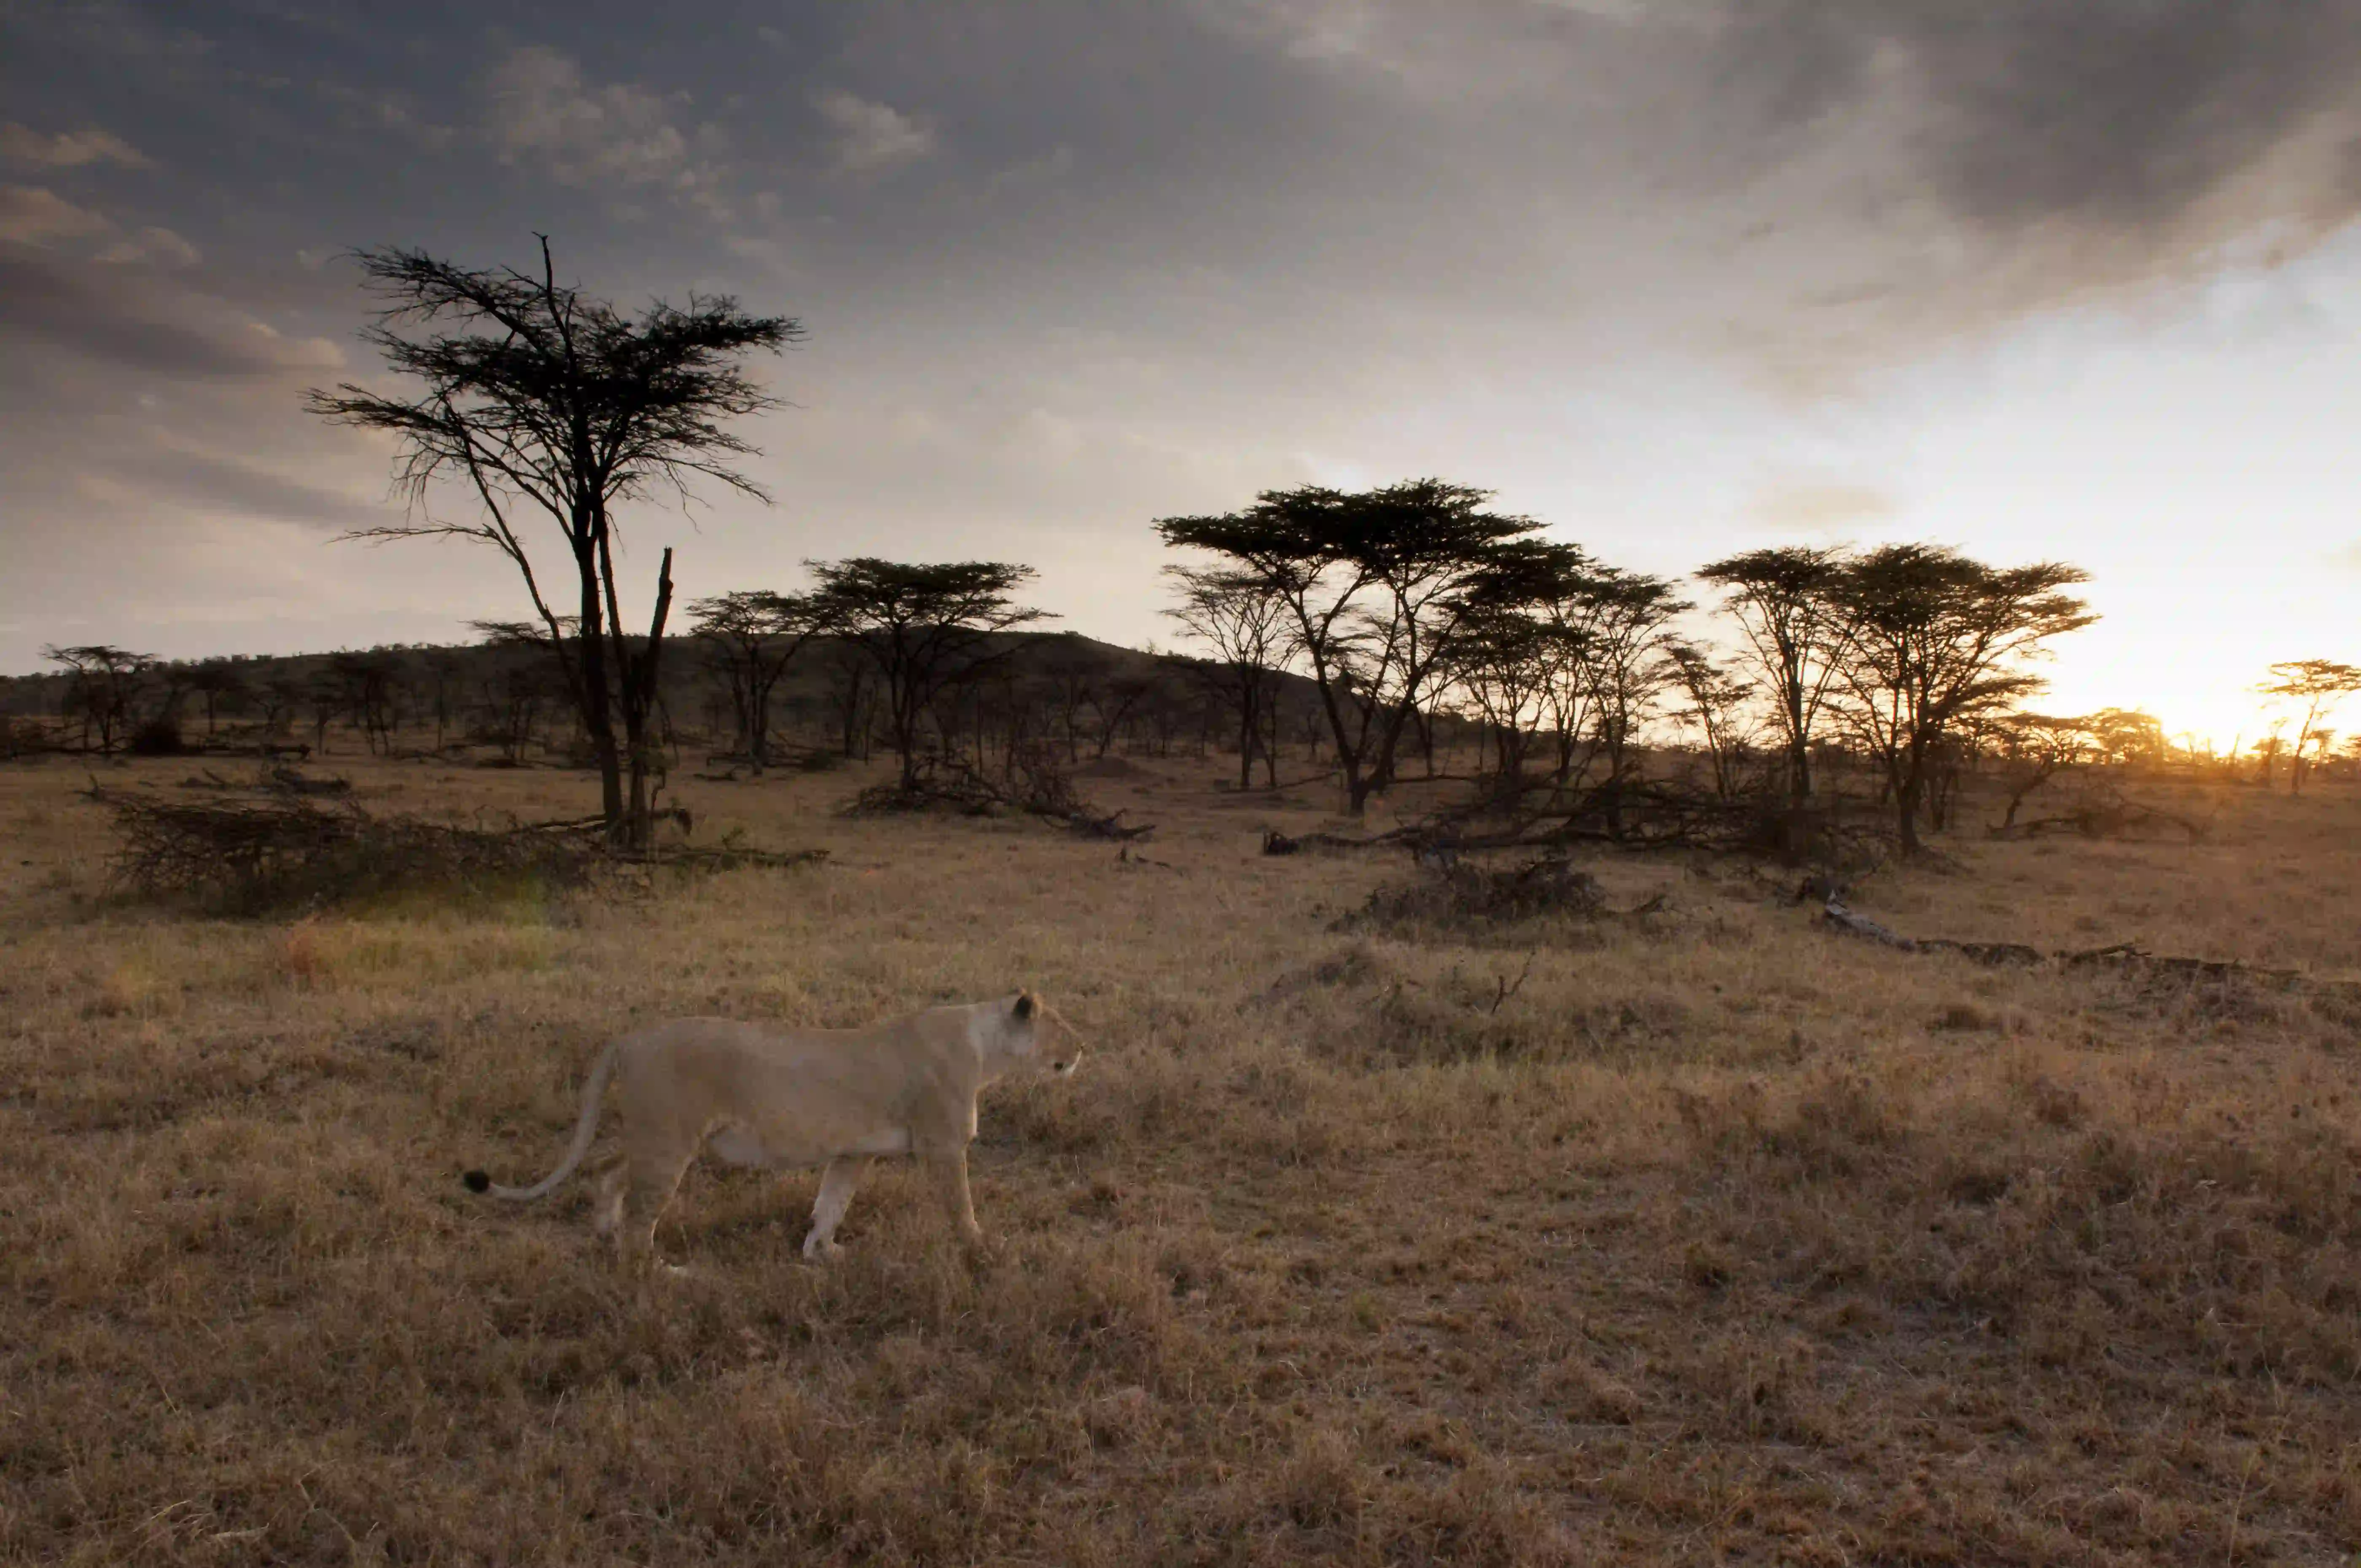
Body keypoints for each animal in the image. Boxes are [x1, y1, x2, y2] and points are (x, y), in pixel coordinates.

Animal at [461, 990, 1082, 1267]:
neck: (987, 1048)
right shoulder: (944, 1144)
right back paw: (661, 1271)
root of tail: (629, 1039)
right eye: (1061, 1025)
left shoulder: (854, 1151)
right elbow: (961, 1206)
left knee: (606, 1171)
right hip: (669, 1141)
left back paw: (603, 1236)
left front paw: (823, 1252)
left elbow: (832, 1201)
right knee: (641, 1218)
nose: (1083, 1047)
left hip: (653, 1137)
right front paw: (983, 1248)